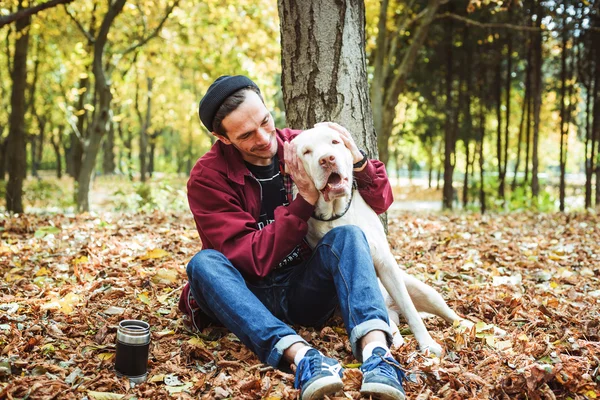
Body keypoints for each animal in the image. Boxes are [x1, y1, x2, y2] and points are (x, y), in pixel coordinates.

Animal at [292, 126, 468, 356]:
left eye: (334, 142)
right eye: (306, 152)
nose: (327, 159)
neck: (336, 213)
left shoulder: (387, 264)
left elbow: (411, 311)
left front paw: (427, 344)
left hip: (425, 292)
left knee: (449, 315)